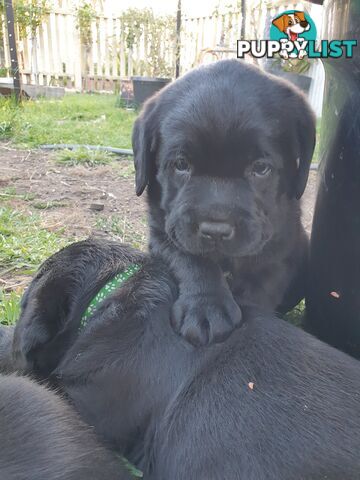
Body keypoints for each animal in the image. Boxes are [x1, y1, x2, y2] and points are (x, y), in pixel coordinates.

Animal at [132, 59, 316, 344]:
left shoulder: (278, 246)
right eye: (181, 164)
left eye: (260, 168)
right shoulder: (164, 230)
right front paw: (206, 307)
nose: (215, 231)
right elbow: (190, 258)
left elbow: (260, 288)